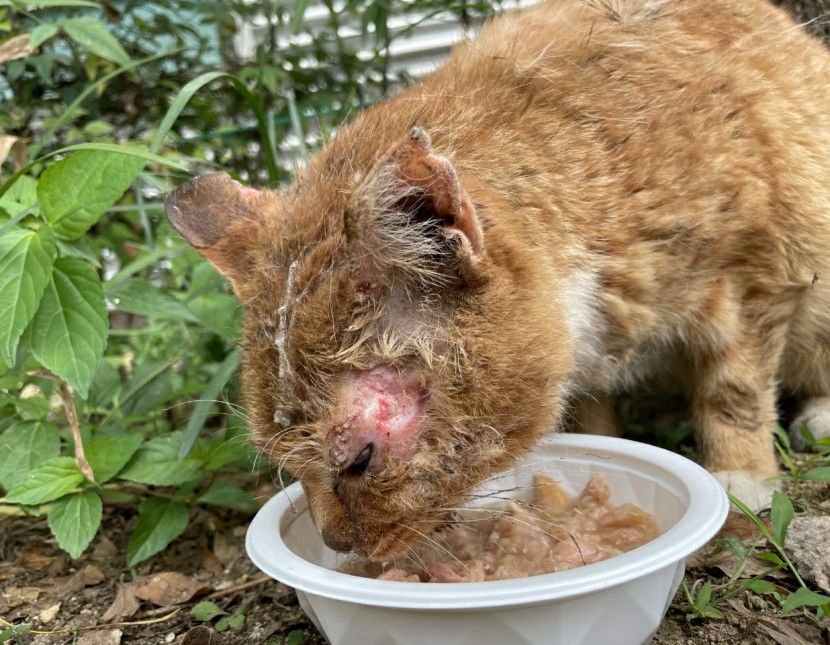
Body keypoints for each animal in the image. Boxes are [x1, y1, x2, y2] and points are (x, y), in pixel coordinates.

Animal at [165, 0, 830, 559]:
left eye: (358, 460)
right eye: (279, 459)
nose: (336, 544)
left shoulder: (761, 271)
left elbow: (735, 389)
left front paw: (741, 475)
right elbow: (591, 410)